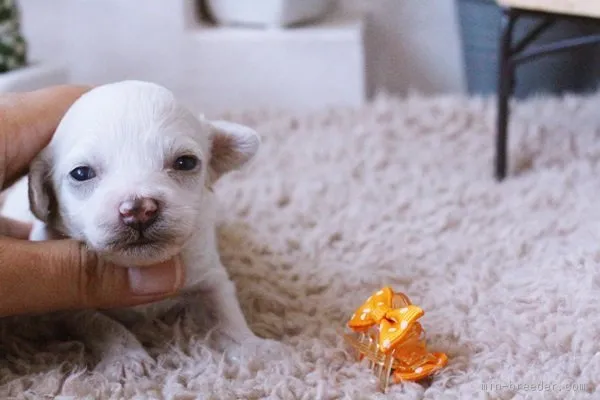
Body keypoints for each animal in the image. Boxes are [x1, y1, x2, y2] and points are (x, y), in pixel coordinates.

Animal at [0, 82, 262, 378]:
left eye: (185, 162)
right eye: (81, 173)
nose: (138, 209)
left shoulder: (207, 270)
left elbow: (224, 307)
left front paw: (251, 347)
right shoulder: (66, 305)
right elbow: (101, 323)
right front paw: (127, 358)